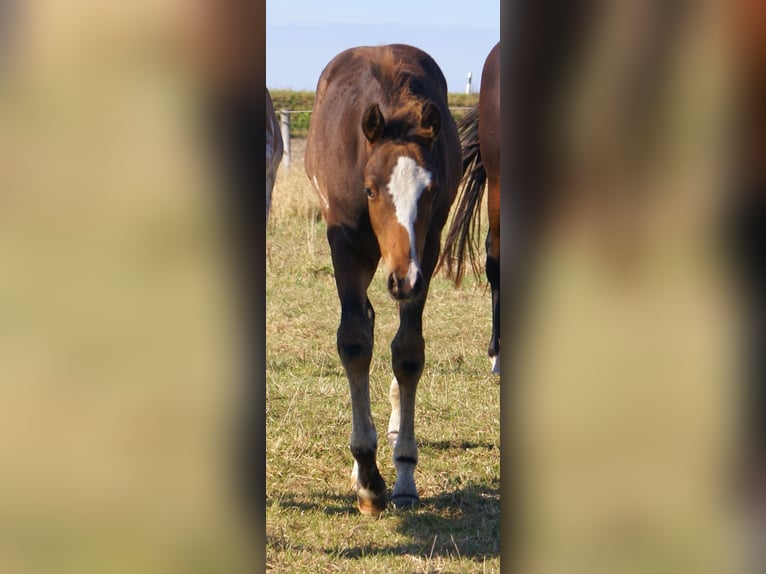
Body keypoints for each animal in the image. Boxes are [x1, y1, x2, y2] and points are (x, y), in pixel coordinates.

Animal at [304, 44, 461, 515]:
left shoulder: (426, 250)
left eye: (430, 190)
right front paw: (369, 482)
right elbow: (354, 342)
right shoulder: (345, 245)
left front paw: (404, 474)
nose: (403, 279)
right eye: (371, 190)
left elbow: (408, 353)